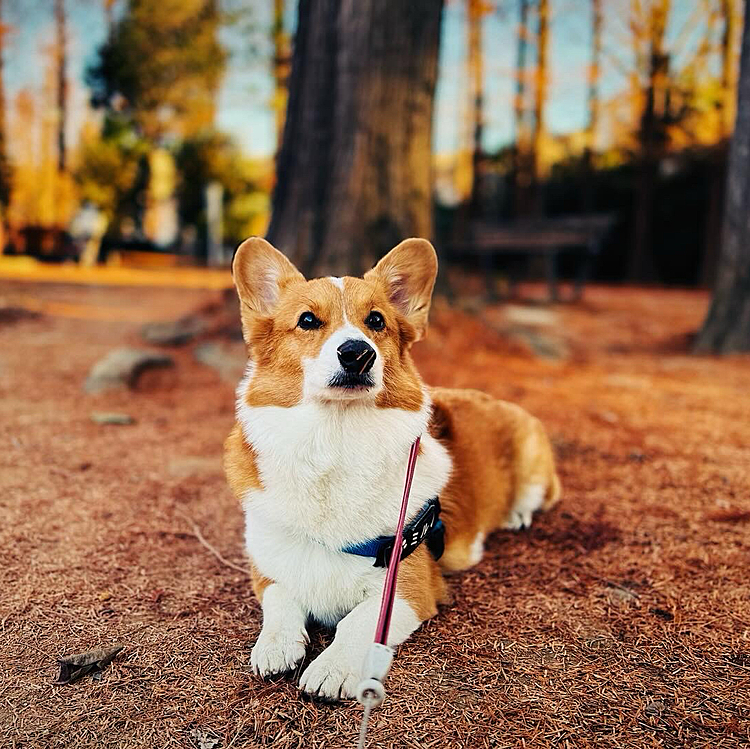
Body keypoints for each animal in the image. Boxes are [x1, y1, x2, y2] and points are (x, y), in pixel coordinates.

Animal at [226, 237, 560, 700]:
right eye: (307, 320)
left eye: (376, 321)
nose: (357, 353)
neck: (336, 438)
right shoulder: (268, 568)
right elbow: (280, 601)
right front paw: (275, 645)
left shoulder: (407, 588)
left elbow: (356, 622)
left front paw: (332, 668)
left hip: (532, 463)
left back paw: (517, 515)